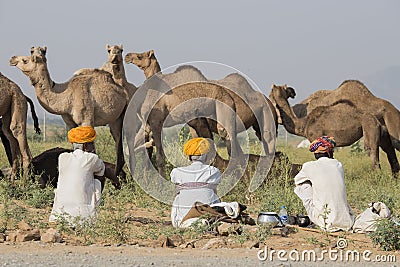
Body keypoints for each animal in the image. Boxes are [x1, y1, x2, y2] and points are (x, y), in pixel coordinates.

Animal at [9, 46, 128, 178]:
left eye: (25, 60)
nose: (12, 58)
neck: (66, 95)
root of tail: (123, 92)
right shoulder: (69, 123)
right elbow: (76, 147)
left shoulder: (86, 120)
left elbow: (90, 149)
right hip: (114, 120)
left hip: (124, 114)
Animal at [268, 84, 400, 176]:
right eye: (286, 89)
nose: (293, 91)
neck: (304, 124)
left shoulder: (316, 137)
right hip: (381, 128)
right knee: (388, 148)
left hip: (370, 124)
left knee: (371, 148)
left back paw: (376, 176)